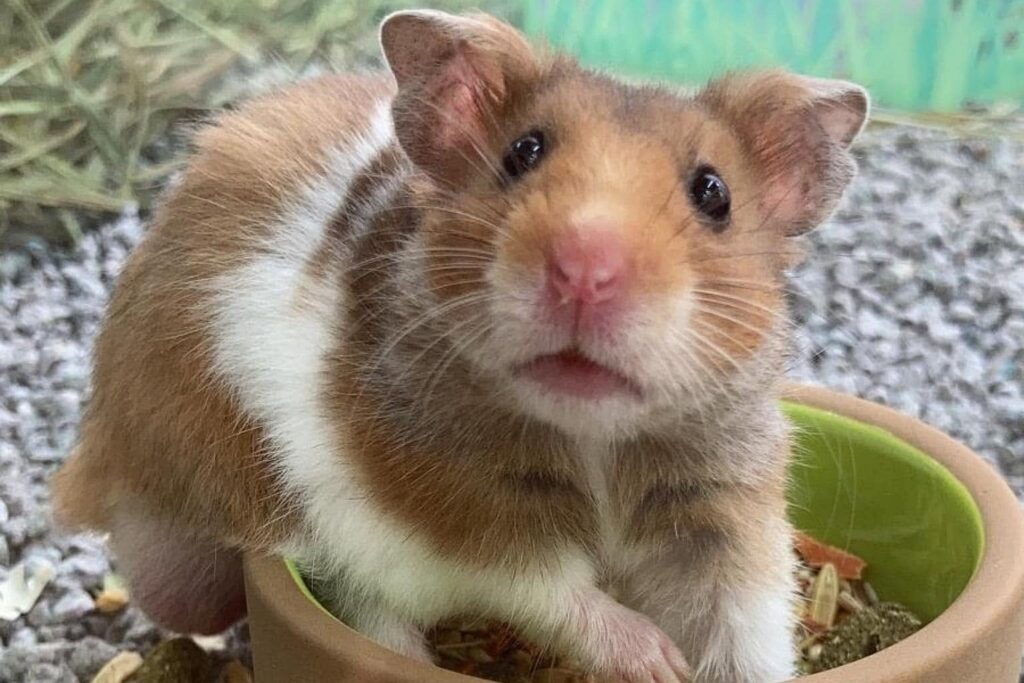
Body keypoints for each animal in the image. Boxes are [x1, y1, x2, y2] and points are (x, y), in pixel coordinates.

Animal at [53, 9, 868, 682]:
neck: (594, 437)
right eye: (523, 152)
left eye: (713, 193)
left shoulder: (721, 512)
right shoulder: (460, 515)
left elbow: (745, 628)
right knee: (364, 612)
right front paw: (657, 660)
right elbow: (553, 590)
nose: (585, 269)